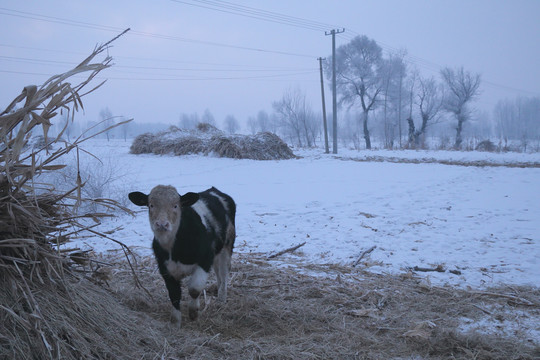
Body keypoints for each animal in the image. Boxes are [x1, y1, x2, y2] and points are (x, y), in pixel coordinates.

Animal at [129, 187, 236, 324]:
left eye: (176, 205)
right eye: (151, 205)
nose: (162, 224)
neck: (175, 251)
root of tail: (214, 190)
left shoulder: (205, 260)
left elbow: (194, 289)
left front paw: (193, 313)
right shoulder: (165, 268)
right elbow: (174, 294)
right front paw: (175, 321)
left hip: (227, 245)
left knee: (224, 273)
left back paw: (221, 299)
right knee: (218, 273)